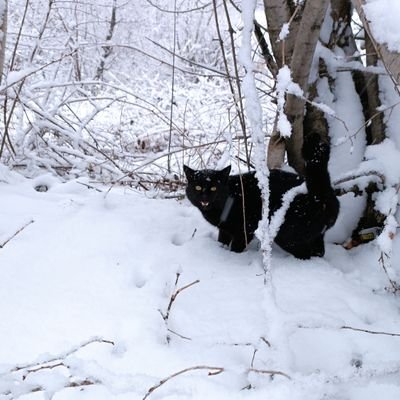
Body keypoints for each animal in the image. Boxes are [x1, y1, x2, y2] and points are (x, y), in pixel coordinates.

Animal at [183, 134, 340, 260]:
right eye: (197, 187)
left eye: (214, 188)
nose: (204, 197)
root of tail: (320, 193)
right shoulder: (225, 230)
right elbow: (222, 241)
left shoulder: (244, 230)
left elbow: (236, 248)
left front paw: (232, 256)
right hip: (316, 235)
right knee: (319, 252)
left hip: (287, 234)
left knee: (304, 254)